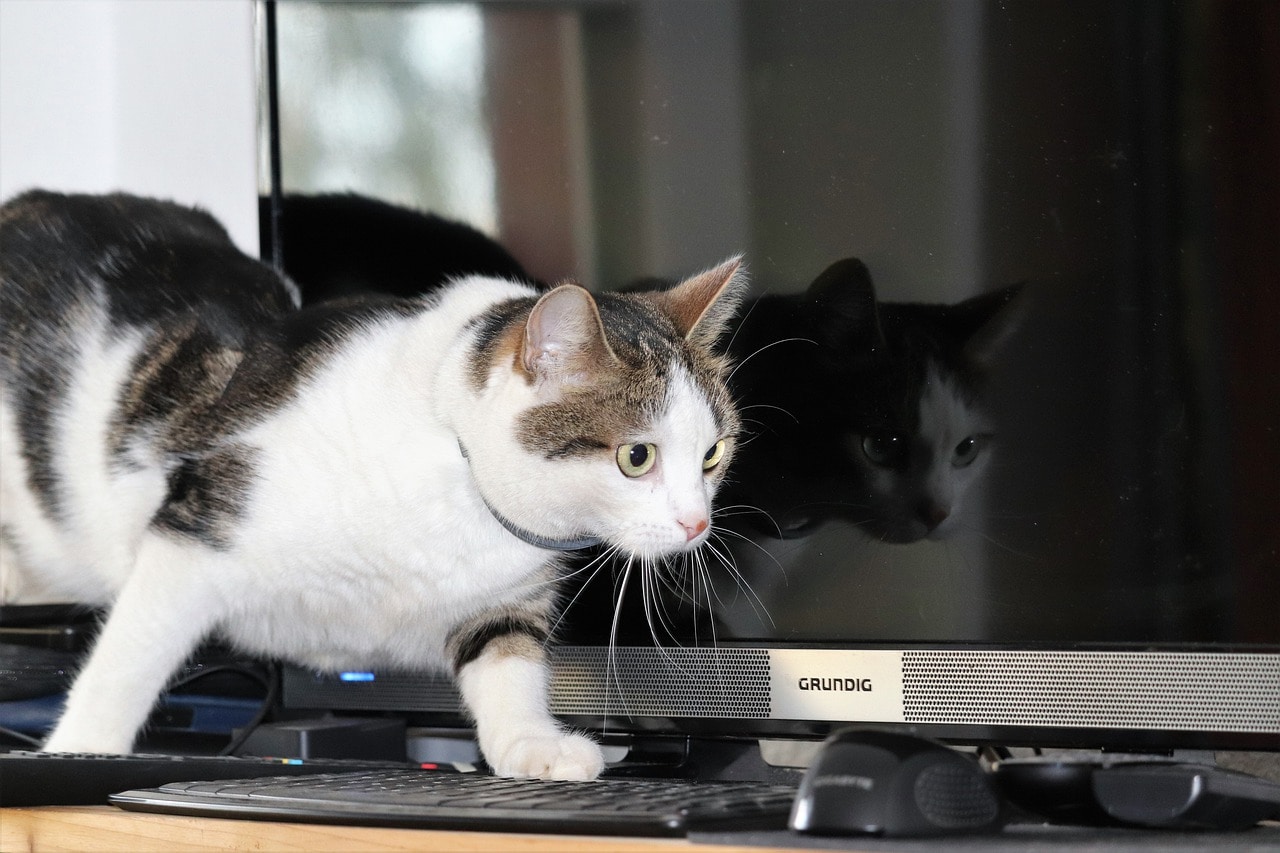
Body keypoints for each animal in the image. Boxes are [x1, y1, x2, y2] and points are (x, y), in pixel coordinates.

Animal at [0, 192, 747, 778]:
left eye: (713, 453)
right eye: (636, 456)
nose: (697, 524)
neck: (456, 473)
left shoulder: (503, 601)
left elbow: (508, 664)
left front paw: (532, 746)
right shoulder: (200, 530)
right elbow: (130, 656)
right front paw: (83, 746)